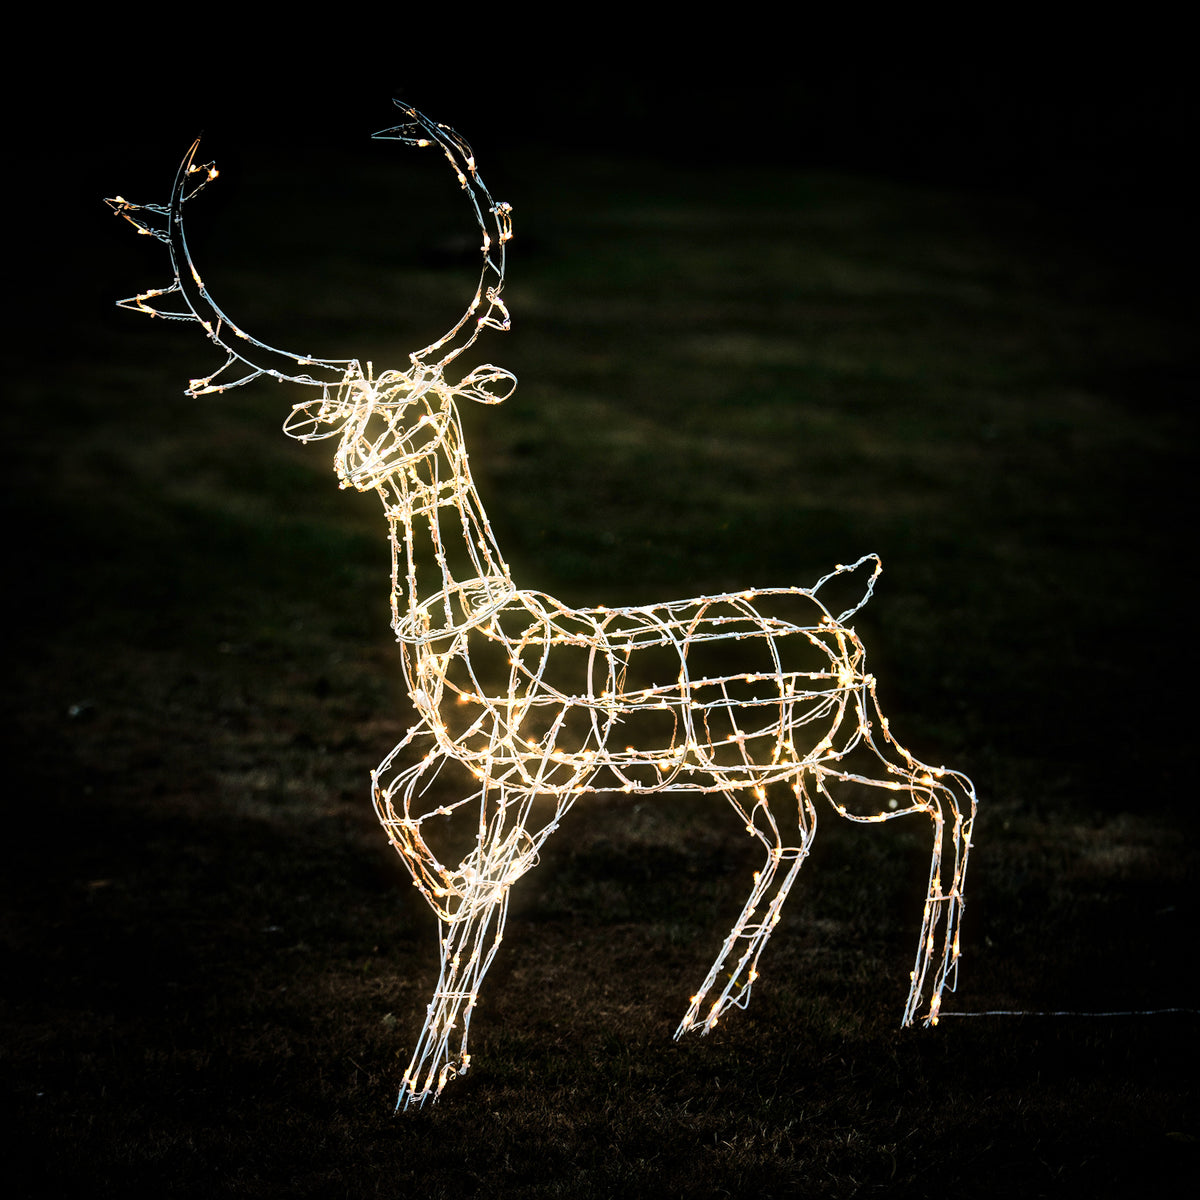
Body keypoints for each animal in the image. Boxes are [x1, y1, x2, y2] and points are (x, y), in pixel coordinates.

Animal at [109, 100, 976, 1110]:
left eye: (428, 404)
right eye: (358, 410)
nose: (355, 463)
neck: (471, 628)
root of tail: (839, 597)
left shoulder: (539, 770)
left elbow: (489, 886)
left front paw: (423, 1078)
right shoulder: (456, 747)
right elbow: (392, 802)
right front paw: (445, 984)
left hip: (842, 739)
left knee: (947, 792)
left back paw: (919, 1006)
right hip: (766, 761)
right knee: (802, 836)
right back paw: (707, 1012)